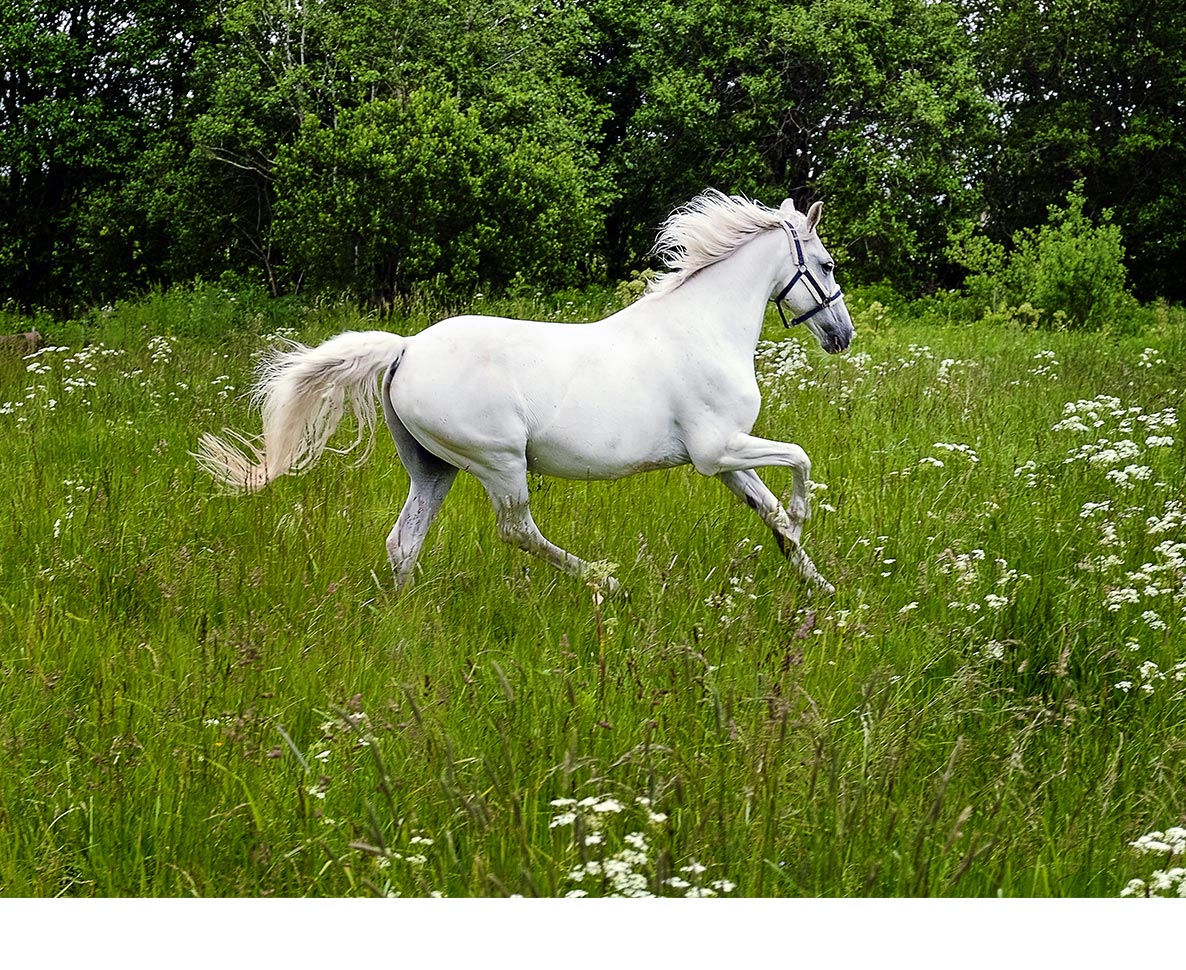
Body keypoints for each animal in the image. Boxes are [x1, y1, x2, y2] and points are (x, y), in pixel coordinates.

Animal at [194, 188, 849, 592]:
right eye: (828, 264)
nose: (841, 334)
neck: (703, 327)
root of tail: (405, 349)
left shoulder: (722, 459)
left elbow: (768, 512)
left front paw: (822, 589)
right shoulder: (718, 450)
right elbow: (799, 460)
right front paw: (804, 517)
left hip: (433, 467)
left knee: (404, 542)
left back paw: (405, 621)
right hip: (499, 461)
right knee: (517, 530)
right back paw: (606, 580)